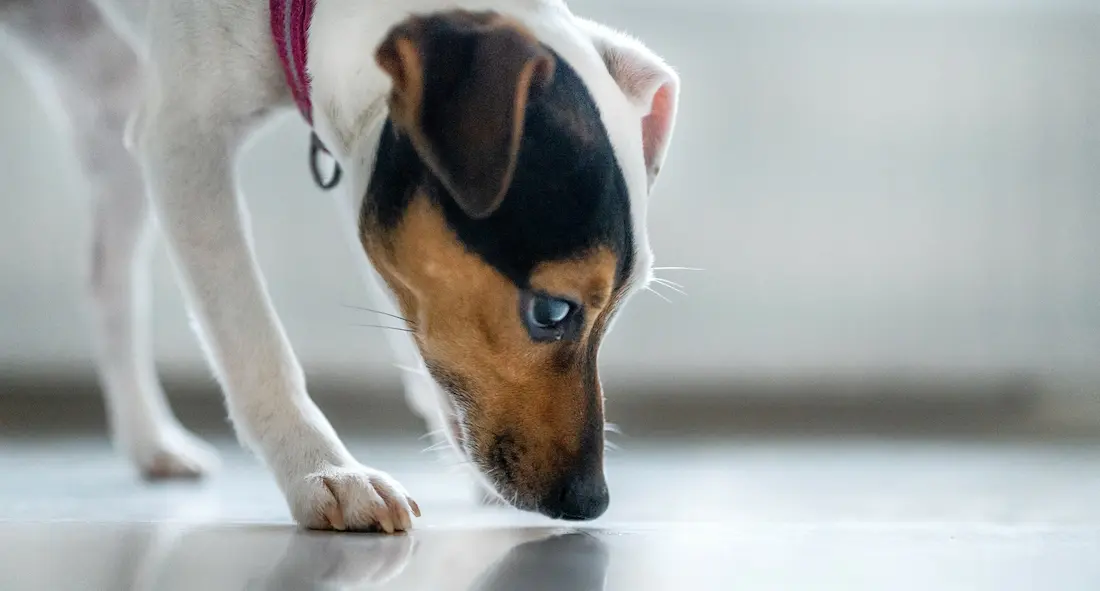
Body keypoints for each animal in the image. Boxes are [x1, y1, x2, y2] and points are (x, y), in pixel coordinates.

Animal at [0, 0, 677, 532]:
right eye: (552, 311)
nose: (591, 502)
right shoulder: (184, 142)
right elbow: (255, 346)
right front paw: (324, 471)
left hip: (111, 107)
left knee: (107, 286)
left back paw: (149, 440)